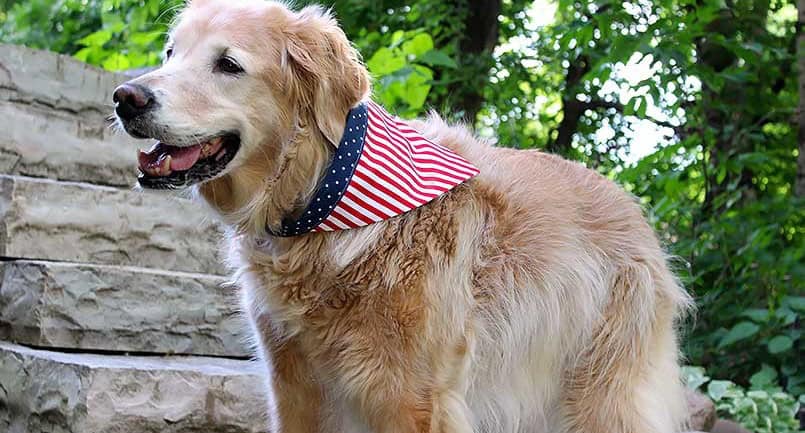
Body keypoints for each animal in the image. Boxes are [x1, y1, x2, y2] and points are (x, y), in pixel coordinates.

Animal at [111, 1, 692, 430]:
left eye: (228, 65)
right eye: (171, 52)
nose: (124, 97)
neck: (324, 197)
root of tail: (632, 208)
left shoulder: (411, 398)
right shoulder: (293, 384)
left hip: (601, 394)